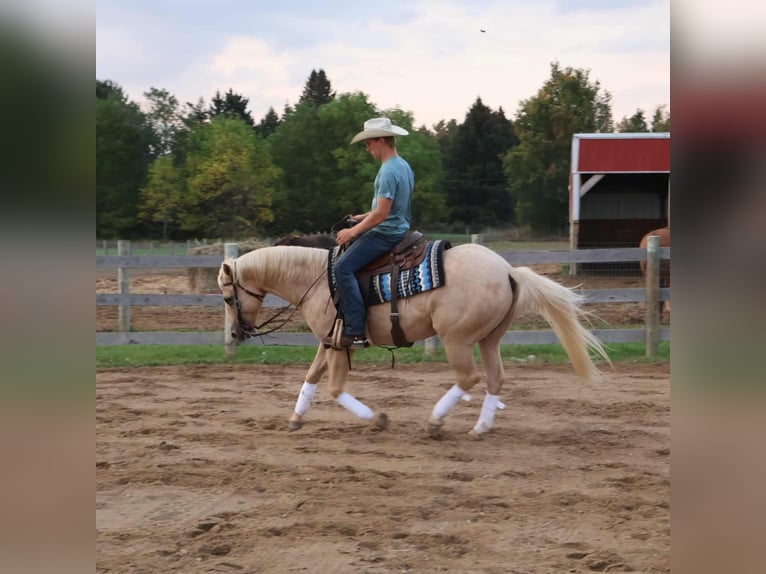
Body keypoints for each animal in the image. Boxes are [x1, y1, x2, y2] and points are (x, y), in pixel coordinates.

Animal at [217, 243, 610, 439]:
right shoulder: (330, 340)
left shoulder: (341, 343)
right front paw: (296, 418)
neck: (317, 279)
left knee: (469, 378)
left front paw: (377, 420)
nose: (236, 334)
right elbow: (311, 377)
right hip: (489, 339)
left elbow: (335, 389)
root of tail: (508, 271)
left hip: (457, 340)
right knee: (495, 378)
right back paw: (480, 427)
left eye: (227, 296)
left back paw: (436, 422)